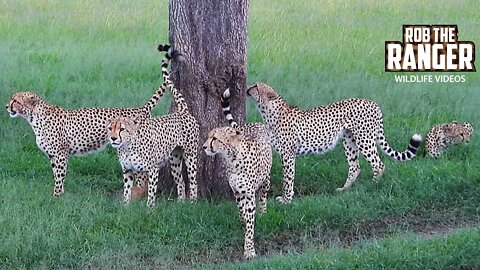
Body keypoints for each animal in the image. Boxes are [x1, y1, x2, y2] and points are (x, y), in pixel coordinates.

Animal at [6, 44, 179, 196]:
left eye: (15, 100)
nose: (6, 106)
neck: (33, 117)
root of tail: (139, 109)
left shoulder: (61, 154)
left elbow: (60, 176)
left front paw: (57, 196)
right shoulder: (53, 156)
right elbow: (56, 175)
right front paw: (59, 194)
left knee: (143, 178)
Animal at [108, 77, 198, 208]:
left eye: (122, 129)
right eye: (110, 128)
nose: (113, 138)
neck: (127, 147)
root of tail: (182, 112)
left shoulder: (153, 168)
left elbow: (151, 190)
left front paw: (149, 208)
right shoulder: (127, 170)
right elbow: (127, 190)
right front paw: (125, 206)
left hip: (190, 156)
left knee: (193, 181)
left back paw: (193, 203)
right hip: (175, 159)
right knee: (181, 181)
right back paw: (181, 203)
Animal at [201, 88, 272, 260]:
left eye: (214, 138)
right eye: (208, 136)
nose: (204, 147)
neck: (232, 159)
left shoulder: (249, 194)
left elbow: (250, 221)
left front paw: (249, 250)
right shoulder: (237, 192)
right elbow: (242, 213)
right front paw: (243, 225)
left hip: (266, 179)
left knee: (263, 196)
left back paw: (263, 213)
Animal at [246, 83, 422, 204]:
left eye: (255, 86)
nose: (247, 88)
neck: (269, 112)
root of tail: (373, 103)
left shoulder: (288, 155)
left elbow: (287, 178)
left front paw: (286, 199)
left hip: (364, 139)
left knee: (378, 164)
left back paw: (374, 185)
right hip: (349, 140)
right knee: (355, 166)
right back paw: (344, 189)